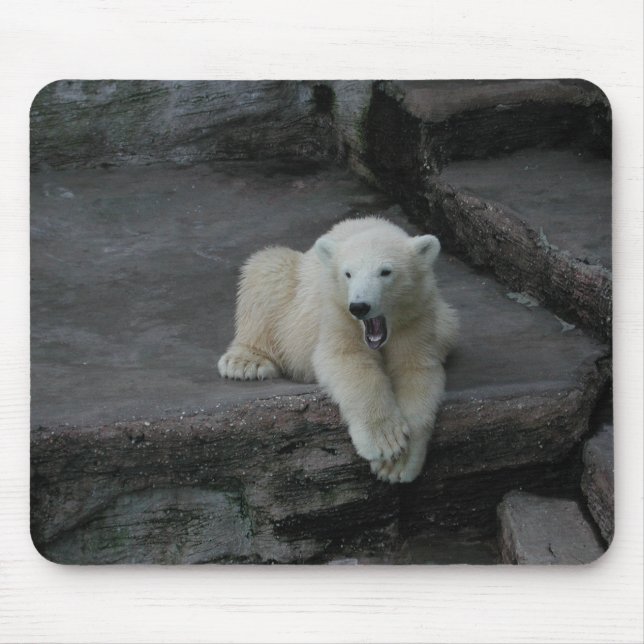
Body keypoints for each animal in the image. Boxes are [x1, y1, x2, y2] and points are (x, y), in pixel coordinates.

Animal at [218, 217, 458, 483]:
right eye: (348, 274)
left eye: (385, 272)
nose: (360, 306)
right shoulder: (336, 313)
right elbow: (348, 361)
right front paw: (385, 441)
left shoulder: (417, 317)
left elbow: (416, 370)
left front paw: (397, 465)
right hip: (291, 291)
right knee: (268, 269)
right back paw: (246, 362)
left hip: (445, 320)